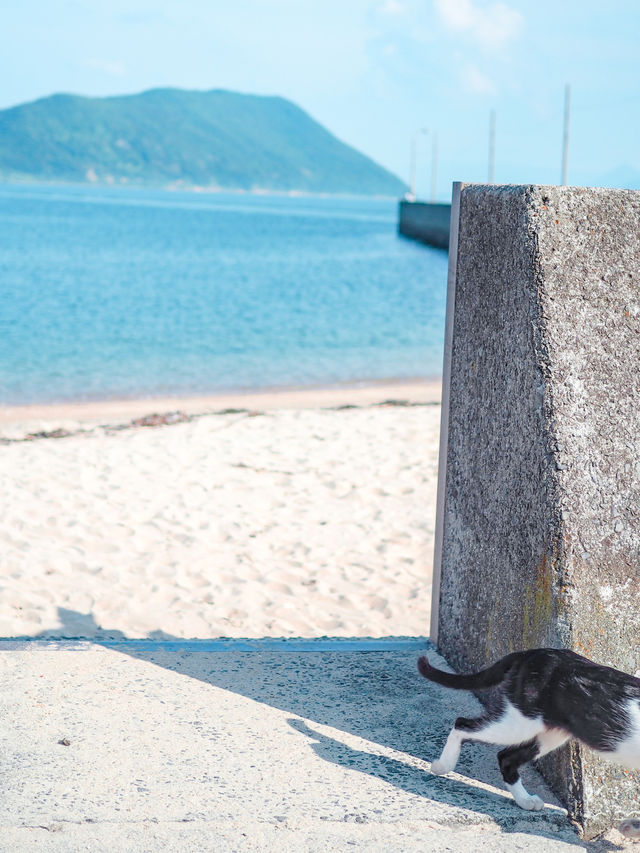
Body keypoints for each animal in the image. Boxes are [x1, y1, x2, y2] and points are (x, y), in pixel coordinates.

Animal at [418, 644, 640, 832]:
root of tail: (531, 653)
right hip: (520, 722)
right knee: (462, 725)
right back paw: (443, 765)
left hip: (550, 734)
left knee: (506, 758)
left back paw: (525, 801)